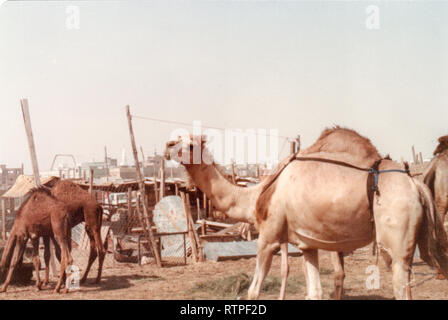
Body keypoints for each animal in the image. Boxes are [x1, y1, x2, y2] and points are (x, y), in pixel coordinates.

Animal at [166, 128, 448, 300]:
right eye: (176, 139)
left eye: (190, 144)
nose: (168, 145)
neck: (256, 195)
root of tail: (416, 185)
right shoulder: (307, 244)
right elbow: (314, 291)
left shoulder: (268, 236)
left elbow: (253, 291)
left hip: (397, 238)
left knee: (401, 284)